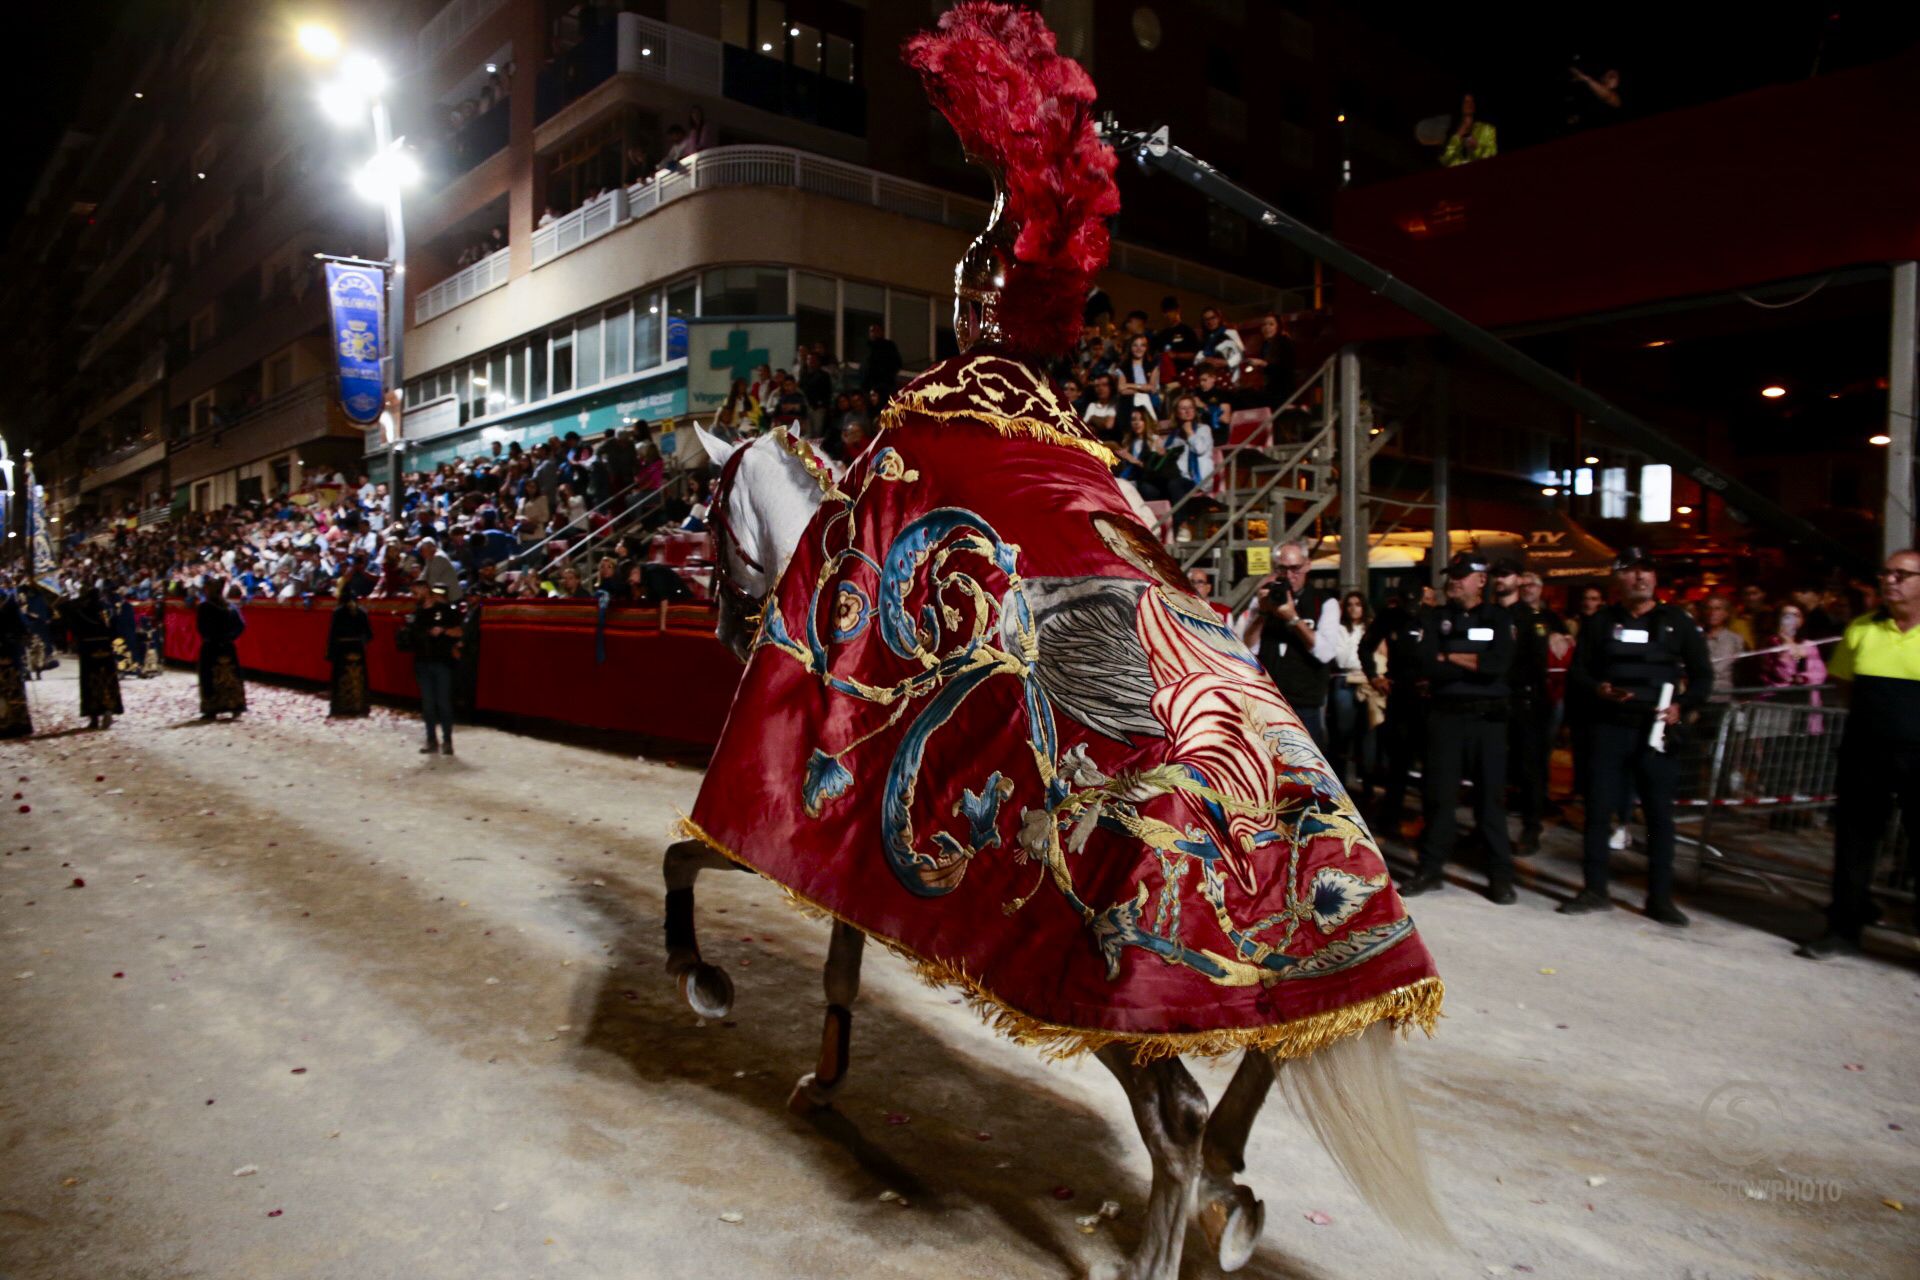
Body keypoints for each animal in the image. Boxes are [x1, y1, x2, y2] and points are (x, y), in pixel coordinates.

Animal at [668, 426, 1443, 1274]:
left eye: (709, 514)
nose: (725, 626)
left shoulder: (777, 833)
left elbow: (682, 862)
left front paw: (701, 979)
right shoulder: (850, 868)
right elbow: (840, 973)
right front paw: (823, 1080)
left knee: (1178, 1114)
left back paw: (1154, 1254)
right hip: (1274, 979)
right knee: (1267, 1053)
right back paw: (1227, 1196)